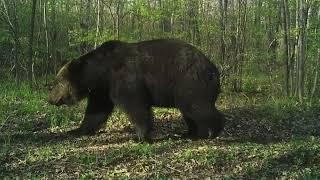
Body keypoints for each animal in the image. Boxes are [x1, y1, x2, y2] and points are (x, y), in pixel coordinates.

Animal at [47, 39, 224, 142]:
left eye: (56, 83)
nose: (50, 99)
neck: (102, 72)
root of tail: (214, 69)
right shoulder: (103, 89)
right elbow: (96, 111)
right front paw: (76, 130)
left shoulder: (125, 78)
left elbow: (135, 106)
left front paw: (140, 137)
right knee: (188, 111)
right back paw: (188, 133)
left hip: (189, 81)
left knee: (196, 107)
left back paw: (210, 132)